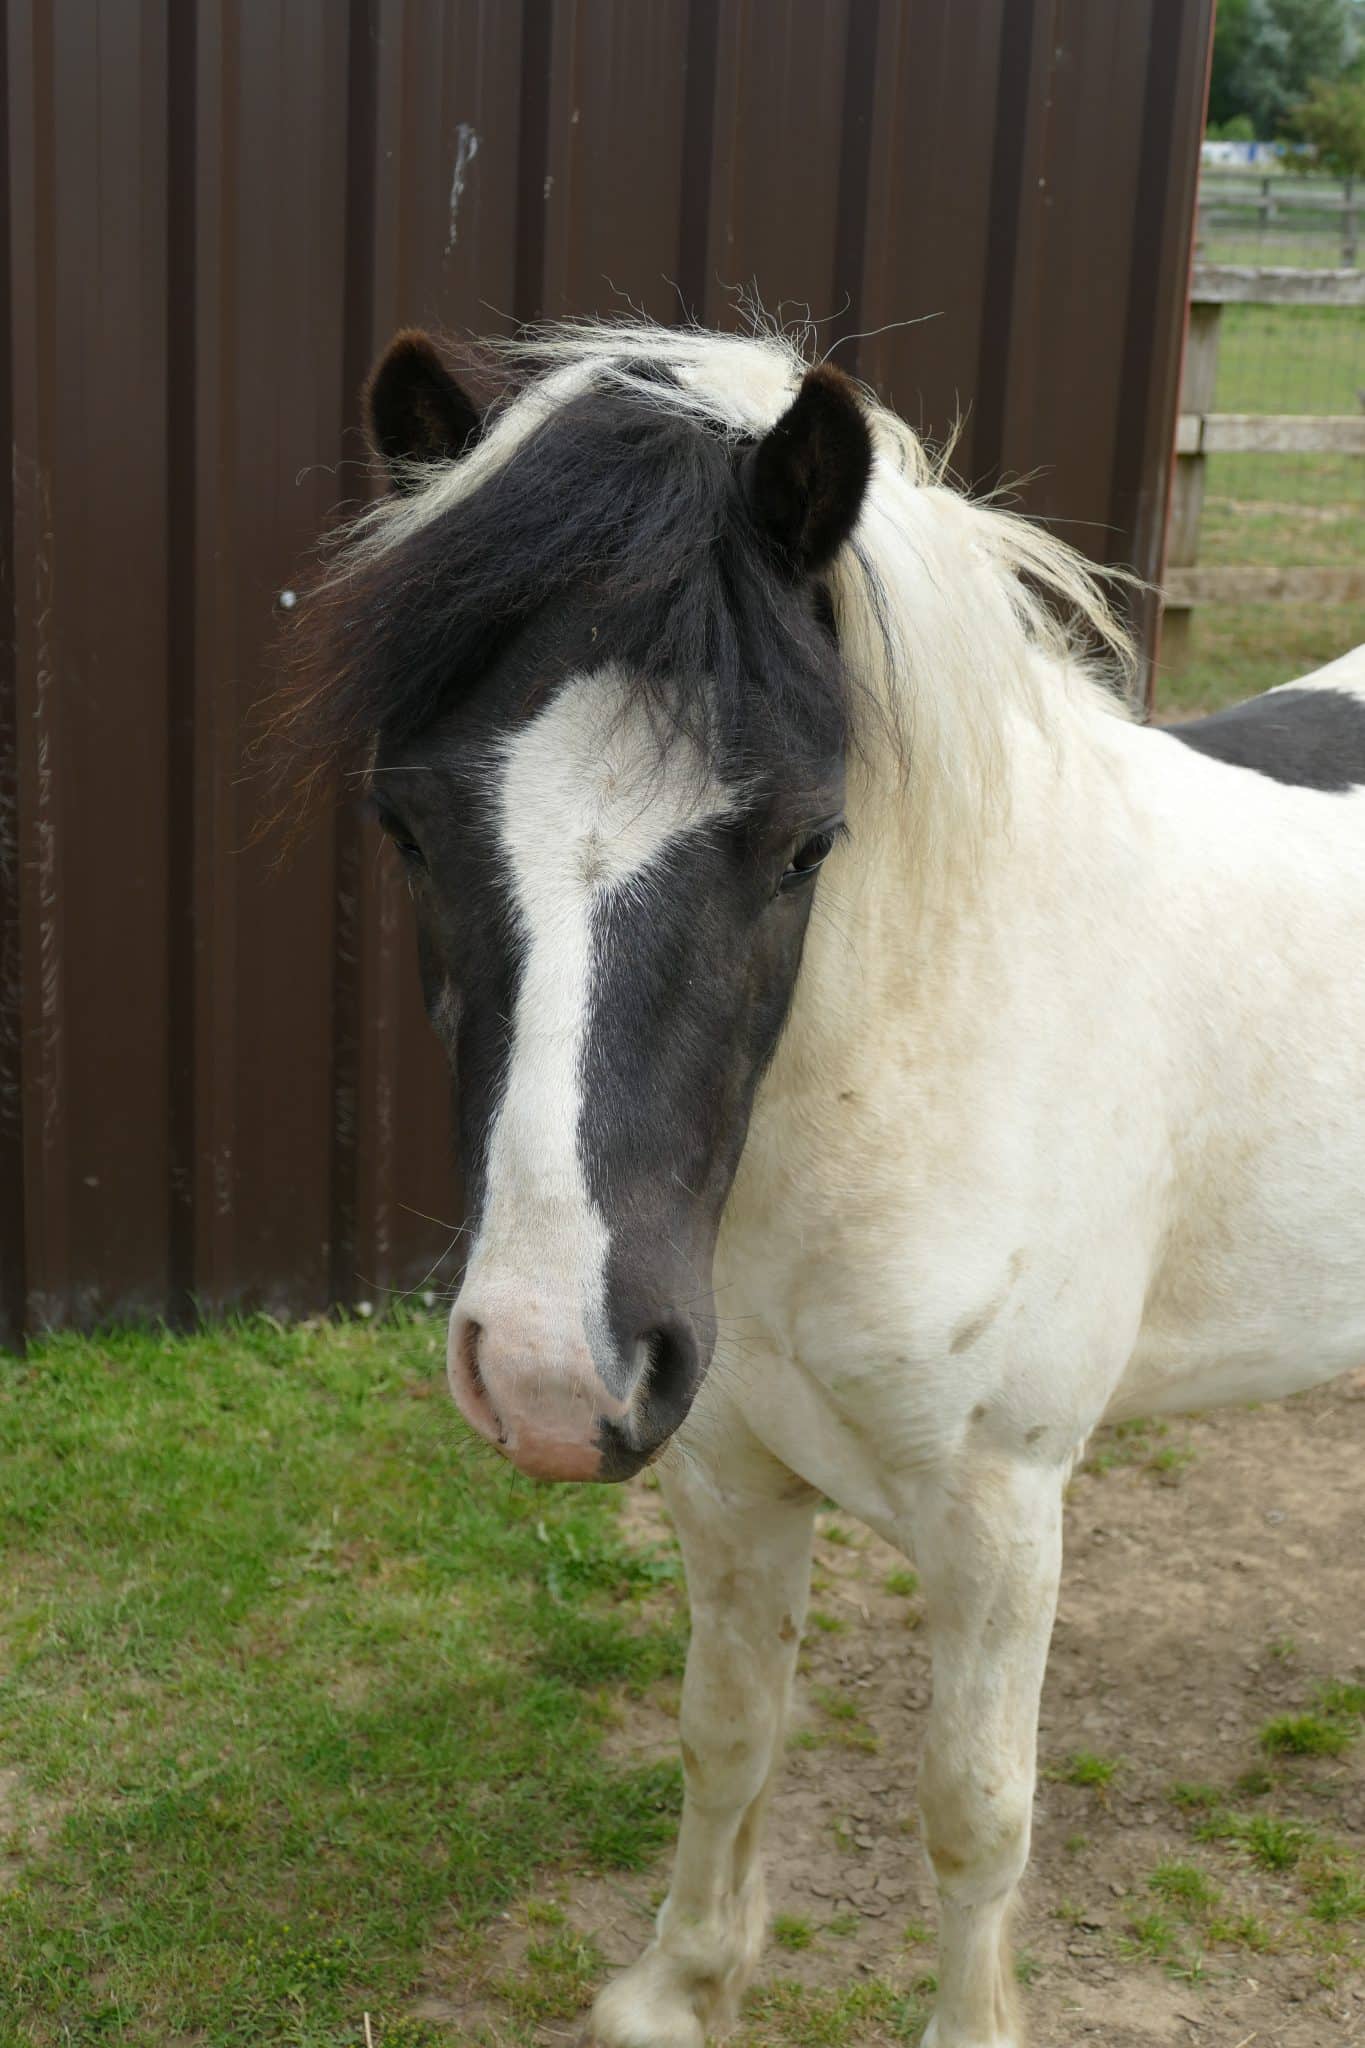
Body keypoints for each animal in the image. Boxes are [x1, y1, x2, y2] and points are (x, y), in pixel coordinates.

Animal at [278, 323, 1365, 2048]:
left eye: (801, 845)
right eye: (407, 827)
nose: (546, 1369)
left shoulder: (1001, 1512)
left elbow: (973, 1814)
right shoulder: (725, 1470)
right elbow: (726, 1730)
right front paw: (679, 1984)